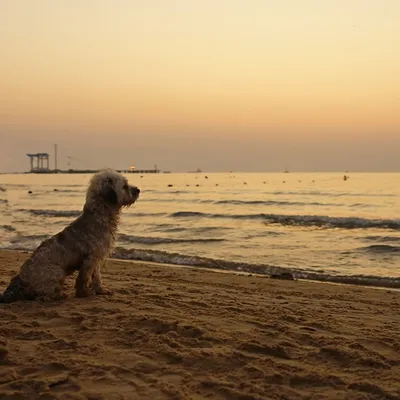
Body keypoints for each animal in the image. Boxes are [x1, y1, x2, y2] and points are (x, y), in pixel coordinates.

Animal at [0, 169, 140, 304]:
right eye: (125, 186)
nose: (138, 190)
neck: (99, 214)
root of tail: (21, 280)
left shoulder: (96, 259)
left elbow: (97, 277)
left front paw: (100, 290)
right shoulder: (90, 259)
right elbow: (83, 279)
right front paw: (84, 293)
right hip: (57, 272)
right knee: (42, 296)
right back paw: (58, 295)